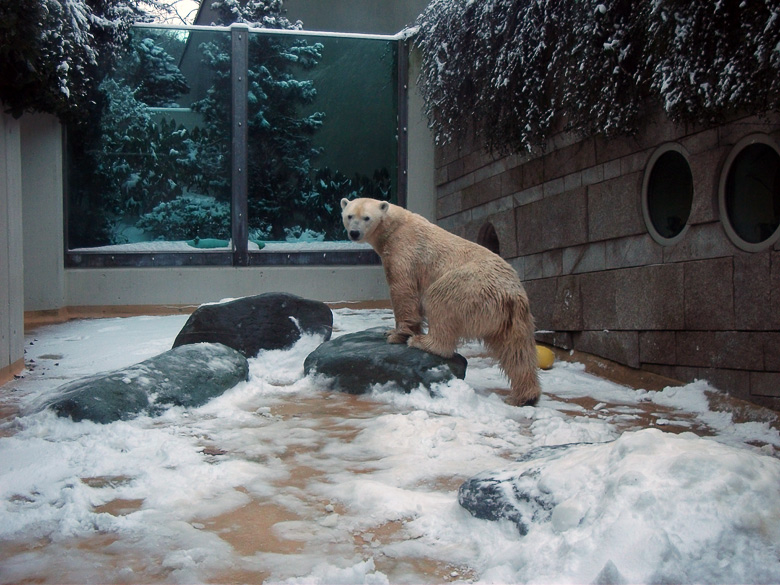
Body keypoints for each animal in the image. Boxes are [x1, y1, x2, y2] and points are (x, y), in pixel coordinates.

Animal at [342, 197, 544, 406]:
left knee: (440, 301)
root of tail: (511, 293)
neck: (395, 226)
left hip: (468, 288)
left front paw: (398, 335)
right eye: (349, 216)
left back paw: (423, 342)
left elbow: (403, 289)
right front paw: (390, 331)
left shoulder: (403, 250)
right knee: (517, 350)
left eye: (366, 217)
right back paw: (524, 396)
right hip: (512, 316)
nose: (354, 232)